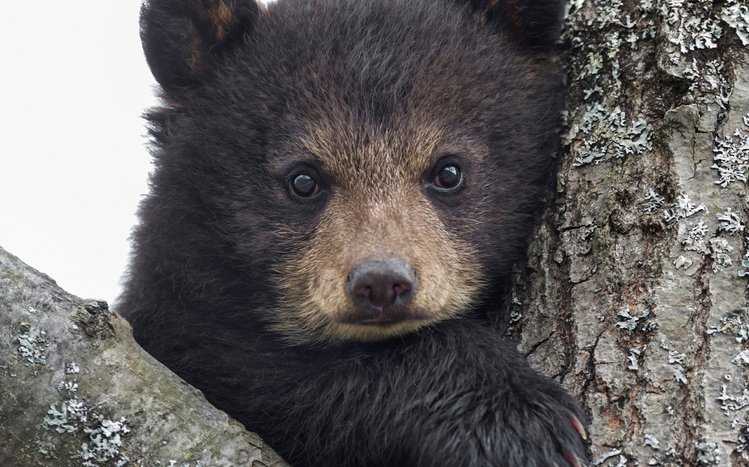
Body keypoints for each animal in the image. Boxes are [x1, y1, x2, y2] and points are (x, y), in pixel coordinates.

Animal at [121, 0, 589, 465]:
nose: (381, 281)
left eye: (448, 171)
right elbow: (261, 375)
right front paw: (519, 419)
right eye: (303, 179)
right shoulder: (180, 322)